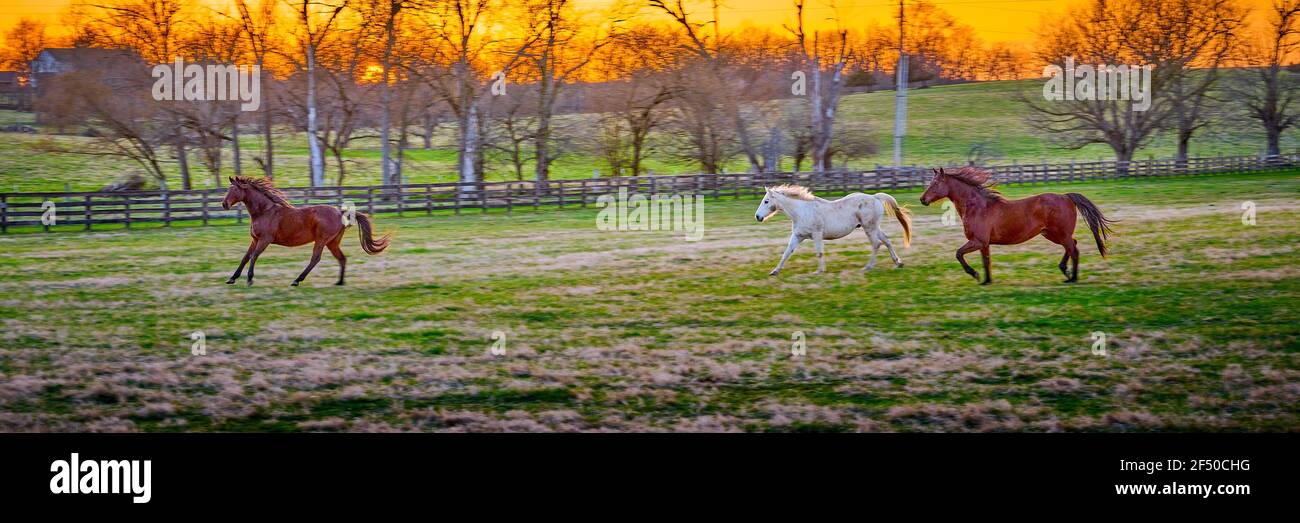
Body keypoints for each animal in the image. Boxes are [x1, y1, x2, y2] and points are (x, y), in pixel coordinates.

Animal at [220, 178, 390, 287]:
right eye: (228, 189)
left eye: (234, 189)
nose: (224, 204)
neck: (264, 211)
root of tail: (340, 212)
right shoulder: (255, 239)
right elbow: (245, 257)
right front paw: (232, 278)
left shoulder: (265, 240)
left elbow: (254, 256)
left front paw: (249, 279)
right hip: (332, 242)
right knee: (342, 258)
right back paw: (339, 282)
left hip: (321, 240)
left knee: (315, 258)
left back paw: (297, 280)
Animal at [754, 184, 915, 275]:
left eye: (766, 201)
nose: (758, 217)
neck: (802, 211)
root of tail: (875, 197)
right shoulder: (797, 236)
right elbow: (786, 253)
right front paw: (774, 271)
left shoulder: (817, 234)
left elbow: (819, 252)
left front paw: (819, 271)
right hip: (874, 227)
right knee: (886, 240)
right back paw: (898, 263)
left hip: (869, 228)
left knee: (876, 244)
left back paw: (867, 267)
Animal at [915, 167, 1118, 283]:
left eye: (935, 183)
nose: (922, 199)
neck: (977, 206)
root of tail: (1066, 196)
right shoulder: (984, 244)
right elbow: (986, 260)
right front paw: (986, 280)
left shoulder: (977, 241)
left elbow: (958, 254)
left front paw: (975, 274)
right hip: (1051, 234)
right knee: (1072, 246)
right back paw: (1065, 271)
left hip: (1059, 234)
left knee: (1074, 249)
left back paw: (1072, 277)